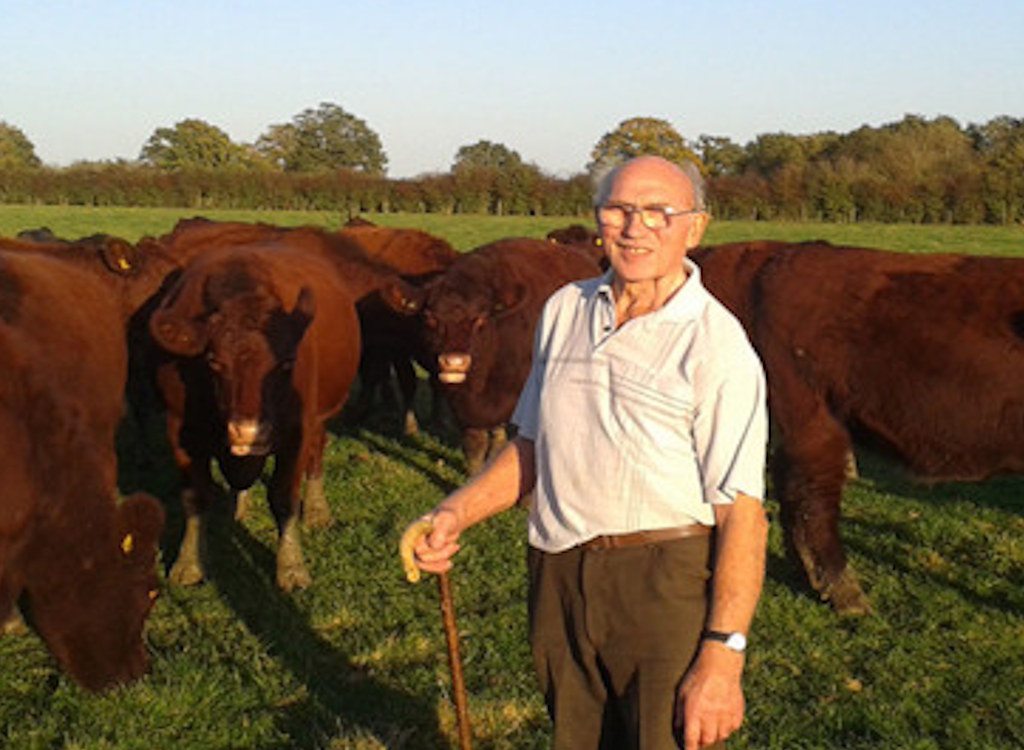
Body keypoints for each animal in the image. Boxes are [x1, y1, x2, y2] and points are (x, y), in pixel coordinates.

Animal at [149, 239, 360, 590]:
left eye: (287, 362)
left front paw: (291, 566)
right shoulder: (179, 429)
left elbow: (284, 497)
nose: (250, 432)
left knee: (316, 454)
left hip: (322, 418)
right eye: (214, 361)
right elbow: (194, 497)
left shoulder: (298, 431)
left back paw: (317, 510)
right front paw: (188, 562)